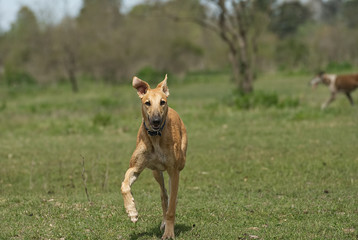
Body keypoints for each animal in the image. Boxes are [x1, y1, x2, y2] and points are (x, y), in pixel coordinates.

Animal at [121, 74, 187, 239]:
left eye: (162, 102)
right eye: (147, 103)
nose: (156, 121)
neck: (156, 136)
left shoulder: (174, 171)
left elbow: (172, 208)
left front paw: (169, 233)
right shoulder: (135, 168)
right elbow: (124, 185)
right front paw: (131, 211)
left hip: (178, 165)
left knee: (171, 196)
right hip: (156, 172)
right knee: (164, 195)